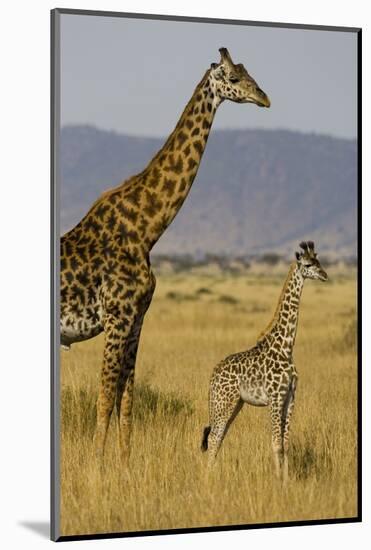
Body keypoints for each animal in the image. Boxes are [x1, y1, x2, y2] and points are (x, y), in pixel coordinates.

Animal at [60, 48, 270, 466]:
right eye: (234, 78)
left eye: (249, 73)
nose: (265, 98)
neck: (147, 231)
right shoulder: (117, 317)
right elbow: (105, 399)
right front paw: (96, 469)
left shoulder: (136, 319)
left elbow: (126, 401)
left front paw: (124, 468)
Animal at [203, 243, 328, 484]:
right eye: (308, 264)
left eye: (319, 262)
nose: (325, 275)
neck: (286, 348)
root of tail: (212, 374)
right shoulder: (275, 398)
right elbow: (276, 443)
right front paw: (277, 481)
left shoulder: (290, 397)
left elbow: (285, 444)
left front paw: (286, 481)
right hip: (223, 402)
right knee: (213, 437)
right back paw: (208, 478)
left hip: (235, 404)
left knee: (219, 437)